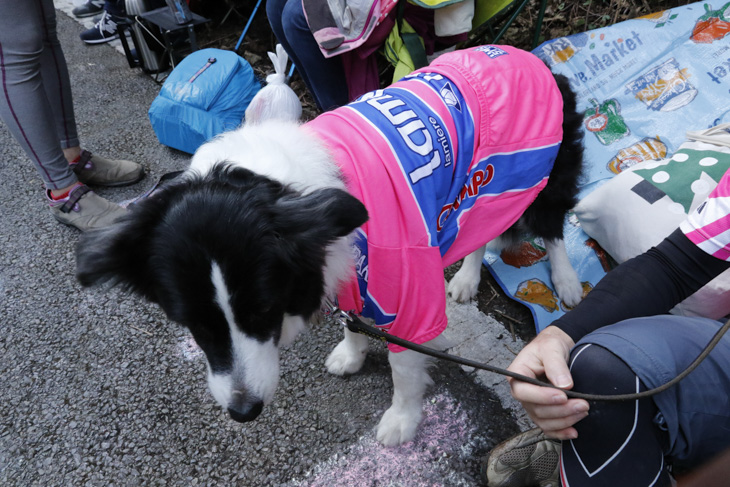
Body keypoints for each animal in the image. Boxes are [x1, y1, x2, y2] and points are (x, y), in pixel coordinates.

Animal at [77, 45, 584, 446]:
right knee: (481, 230)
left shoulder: (407, 284)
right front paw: (352, 353)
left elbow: (403, 365)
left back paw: (566, 282)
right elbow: (352, 317)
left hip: (534, 174)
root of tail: (530, 57)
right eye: (191, 322)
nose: (244, 410)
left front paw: (402, 419)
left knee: (554, 225)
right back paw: (467, 277)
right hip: (488, 186)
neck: (278, 187)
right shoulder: (343, 267)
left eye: (262, 310)